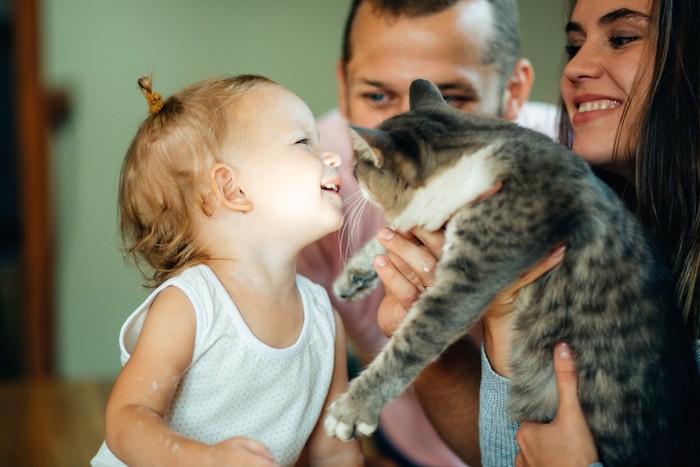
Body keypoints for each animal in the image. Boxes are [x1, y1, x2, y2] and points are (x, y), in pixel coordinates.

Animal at [326, 78, 696, 466]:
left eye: (361, 167)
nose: (348, 174)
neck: (480, 156)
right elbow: (396, 231)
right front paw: (353, 276)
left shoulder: (468, 279)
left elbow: (410, 344)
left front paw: (352, 410)